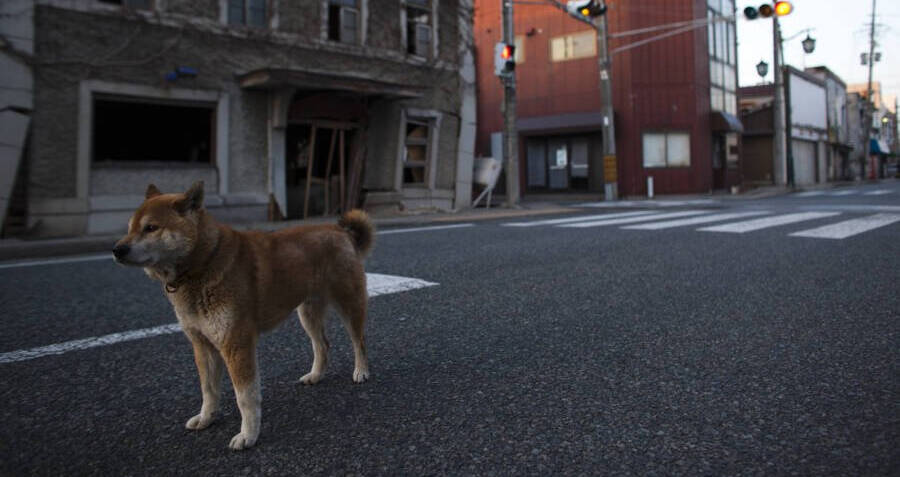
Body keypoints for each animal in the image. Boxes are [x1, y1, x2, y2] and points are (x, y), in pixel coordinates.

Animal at [112, 180, 372, 448]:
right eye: (130, 228)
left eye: (151, 228)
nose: (117, 249)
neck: (202, 265)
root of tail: (341, 231)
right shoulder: (202, 344)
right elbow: (208, 390)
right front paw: (206, 418)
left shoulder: (236, 344)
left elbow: (244, 397)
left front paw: (248, 435)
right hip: (307, 313)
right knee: (323, 345)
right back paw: (316, 375)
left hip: (349, 303)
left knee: (359, 341)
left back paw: (361, 371)